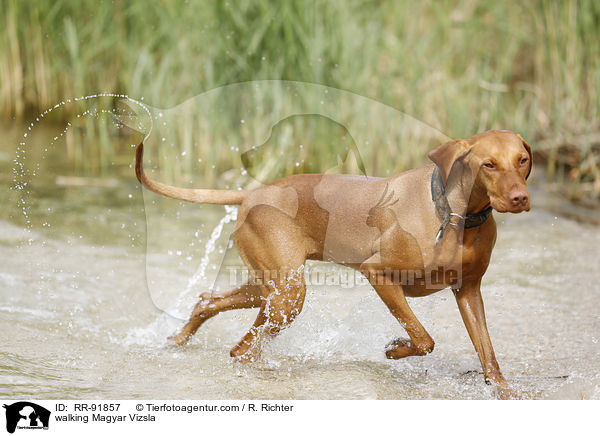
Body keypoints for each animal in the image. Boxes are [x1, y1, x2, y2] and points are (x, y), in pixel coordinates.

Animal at [135, 129, 528, 398]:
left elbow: (489, 356)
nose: (520, 198)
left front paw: (506, 394)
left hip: (272, 288)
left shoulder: (469, 291)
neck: (456, 215)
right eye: (489, 164)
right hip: (288, 295)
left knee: (209, 301)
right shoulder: (378, 274)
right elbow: (424, 338)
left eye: (522, 160)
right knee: (241, 349)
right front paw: (395, 348)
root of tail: (252, 192)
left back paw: (178, 339)